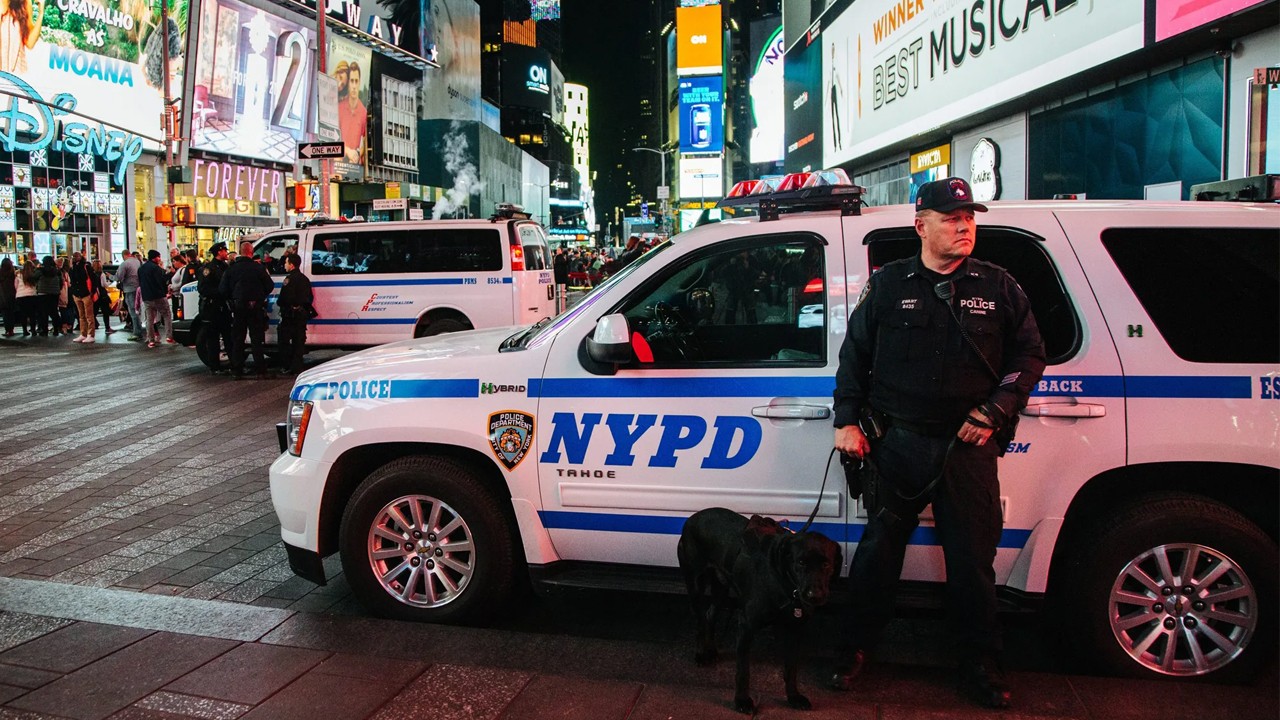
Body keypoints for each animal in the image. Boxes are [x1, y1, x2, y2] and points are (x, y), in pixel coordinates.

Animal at [675, 504, 844, 712]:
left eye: (826, 564)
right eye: (800, 562)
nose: (814, 596)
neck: (784, 581)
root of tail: (692, 518)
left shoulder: (793, 629)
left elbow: (791, 668)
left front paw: (793, 697)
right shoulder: (746, 627)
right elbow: (743, 671)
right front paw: (741, 701)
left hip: (721, 588)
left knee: (710, 615)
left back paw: (711, 650)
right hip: (695, 584)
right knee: (700, 620)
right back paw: (701, 654)